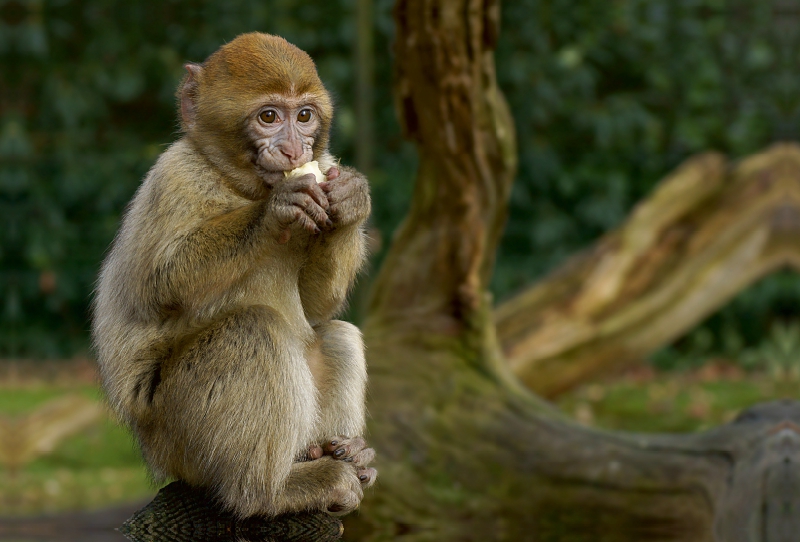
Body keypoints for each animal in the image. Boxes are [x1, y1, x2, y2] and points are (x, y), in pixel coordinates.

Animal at [89, 33, 376, 520]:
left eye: (304, 116)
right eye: (269, 117)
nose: (295, 151)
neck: (239, 184)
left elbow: (316, 304)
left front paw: (351, 198)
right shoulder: (175, 176)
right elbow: (162, 285)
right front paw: (278, 210)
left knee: (332, 334)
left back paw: (340, 453)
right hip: (176, 435)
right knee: (253, 328)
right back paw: (270, 492)